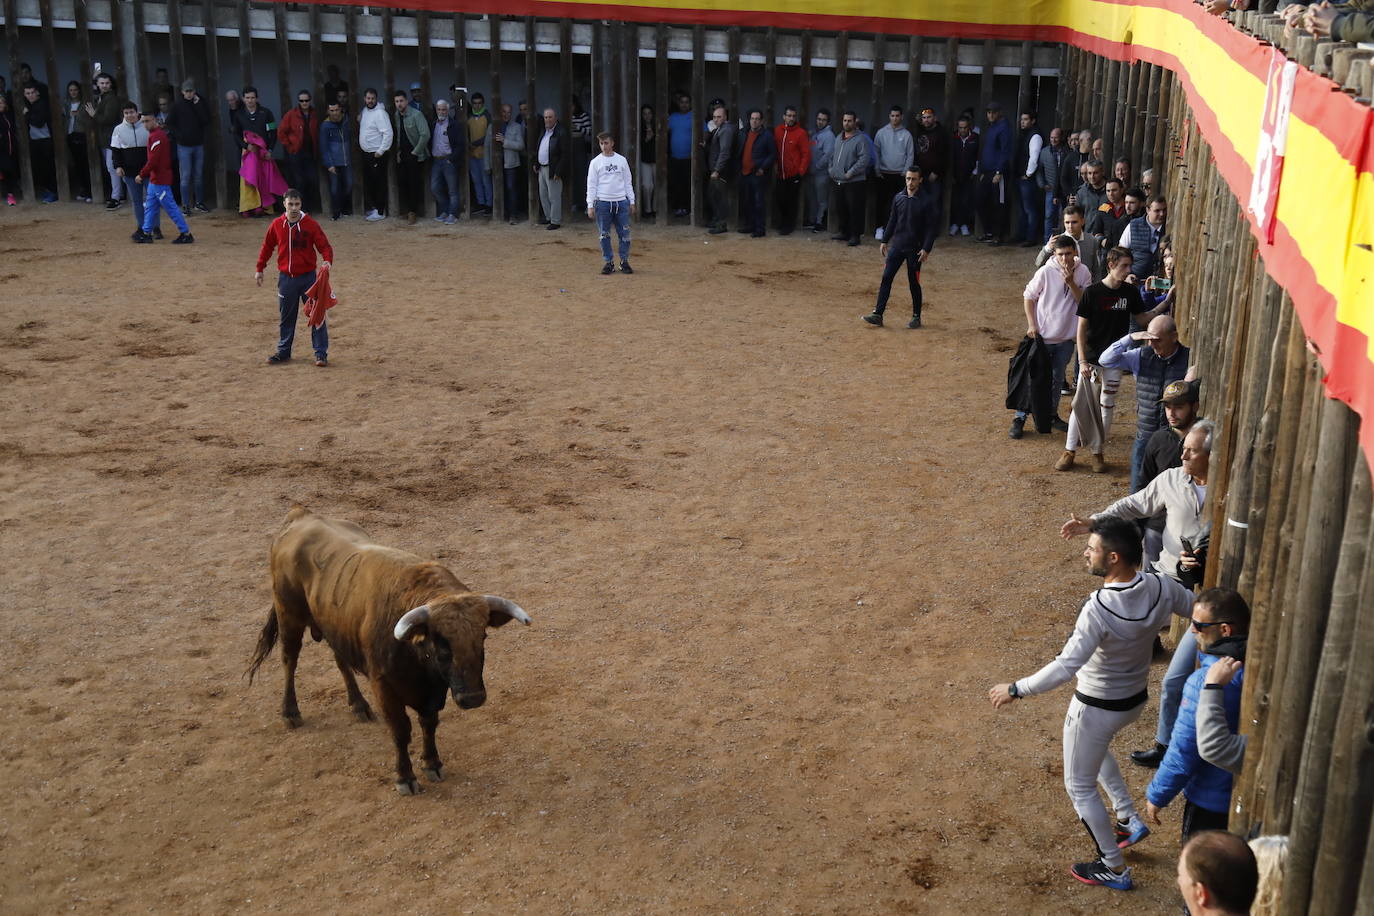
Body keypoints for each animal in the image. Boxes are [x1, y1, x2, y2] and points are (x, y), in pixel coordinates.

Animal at [247, 508, 530, 796]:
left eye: (483, 635)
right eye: (440, 641)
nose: (473, 698)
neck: (417, 659)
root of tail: (300, 515)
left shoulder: (434, 691)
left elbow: (429, 723)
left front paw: (432, 763)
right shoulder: (384, 687)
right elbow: (401, 730)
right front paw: (405, 777)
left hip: (334, 625)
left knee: (340, 660)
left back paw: (358, 705)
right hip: (289, 614)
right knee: (289, 659)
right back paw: (290, 712)